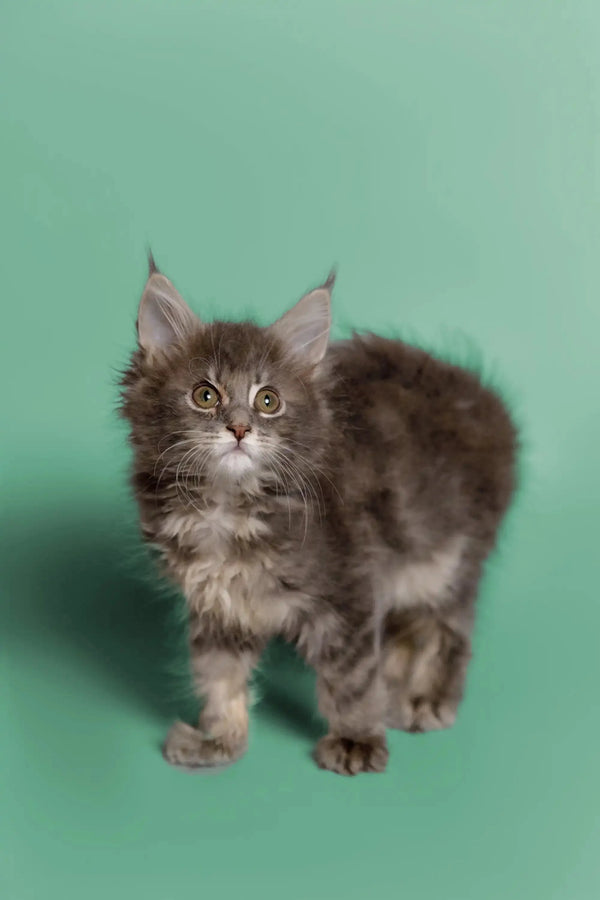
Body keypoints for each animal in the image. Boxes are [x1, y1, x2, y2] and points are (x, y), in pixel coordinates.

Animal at [120, 258, 516, 772]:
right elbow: (219, 677)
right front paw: (219, 741)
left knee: (446, 630)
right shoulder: (220, 607)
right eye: (205, 396)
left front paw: (355, 740)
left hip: (445, 561)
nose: (240, 429)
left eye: (268, 401)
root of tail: (483, 397)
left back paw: (427, 698)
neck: (226, 505)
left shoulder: (347, 592)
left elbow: (351, 679)